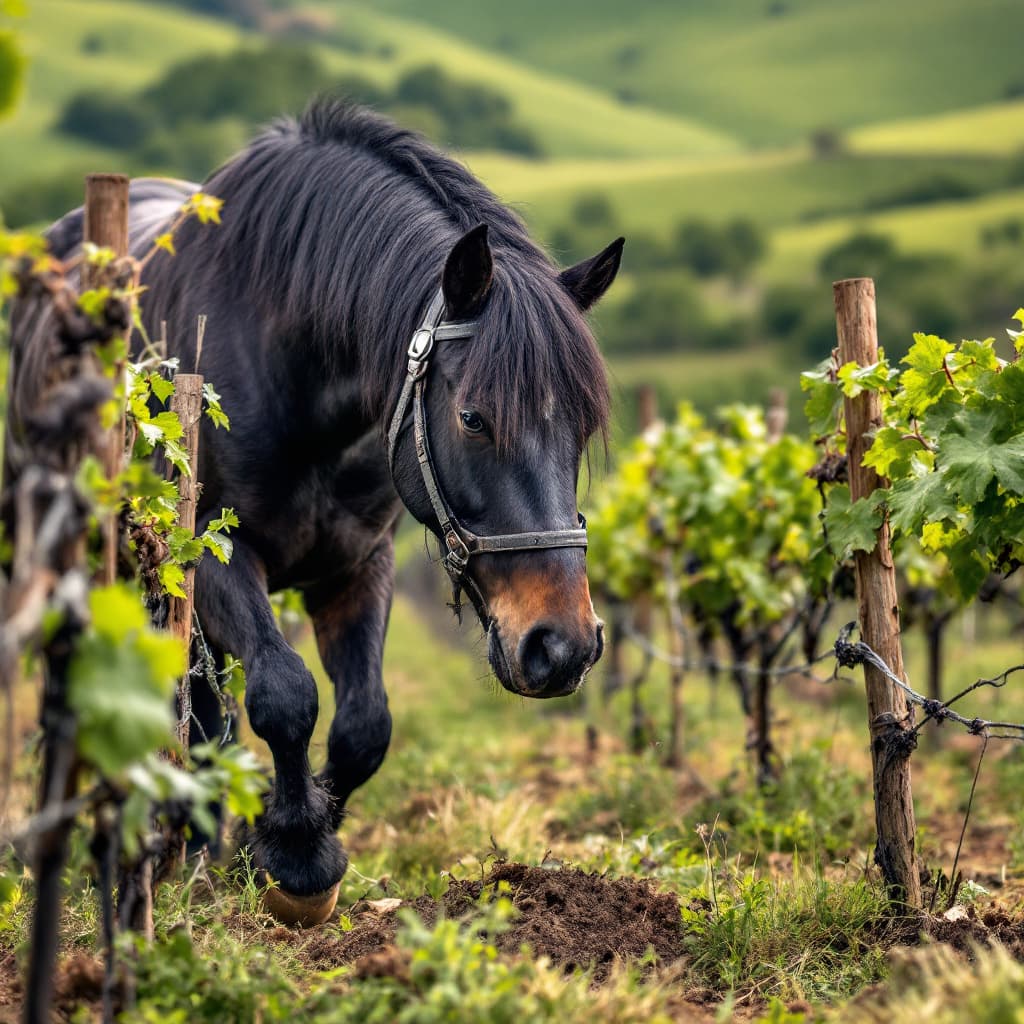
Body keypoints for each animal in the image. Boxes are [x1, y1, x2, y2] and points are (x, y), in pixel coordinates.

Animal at [6, 99, 623, 921]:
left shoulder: (357, 565)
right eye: (472, 418)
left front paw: (274, 832)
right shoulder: (215, 554)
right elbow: (284, 693)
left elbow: (364, 725)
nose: (562, 647)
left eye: (582, 428)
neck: (288, 358)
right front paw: (296, 856)